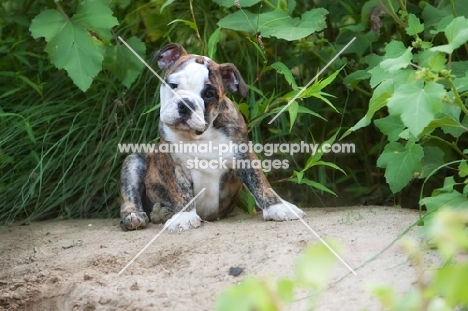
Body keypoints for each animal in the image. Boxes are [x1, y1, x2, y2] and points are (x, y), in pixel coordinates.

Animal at [119, 43, 306, 232]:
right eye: (173, 85)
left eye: (209, 94)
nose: (186, 104)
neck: (201, 135)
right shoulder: (172, 161)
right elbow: (180, 189)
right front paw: (184, 217)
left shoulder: (243, 155)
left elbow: (260, 183)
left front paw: (278, 207)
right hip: (133, 161)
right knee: (129, 195)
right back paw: (136, 216)